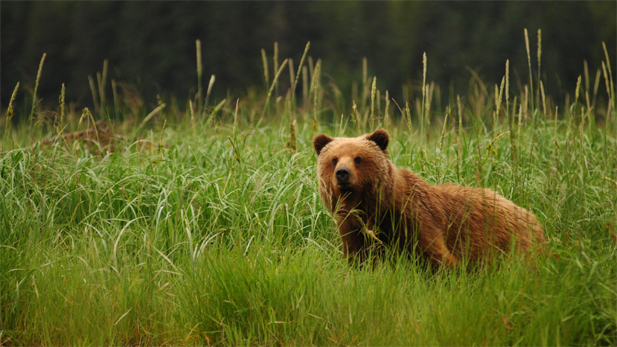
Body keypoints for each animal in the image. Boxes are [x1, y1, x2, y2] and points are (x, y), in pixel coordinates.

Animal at [312, 129, 544, 268]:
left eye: (358, 158)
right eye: (333, 159)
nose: (342, 173)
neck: (372, 209)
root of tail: (531, 215)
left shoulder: (412, 219)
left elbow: (436, 256)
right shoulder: (352, 227)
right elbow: (358, 260)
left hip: (511, 241)